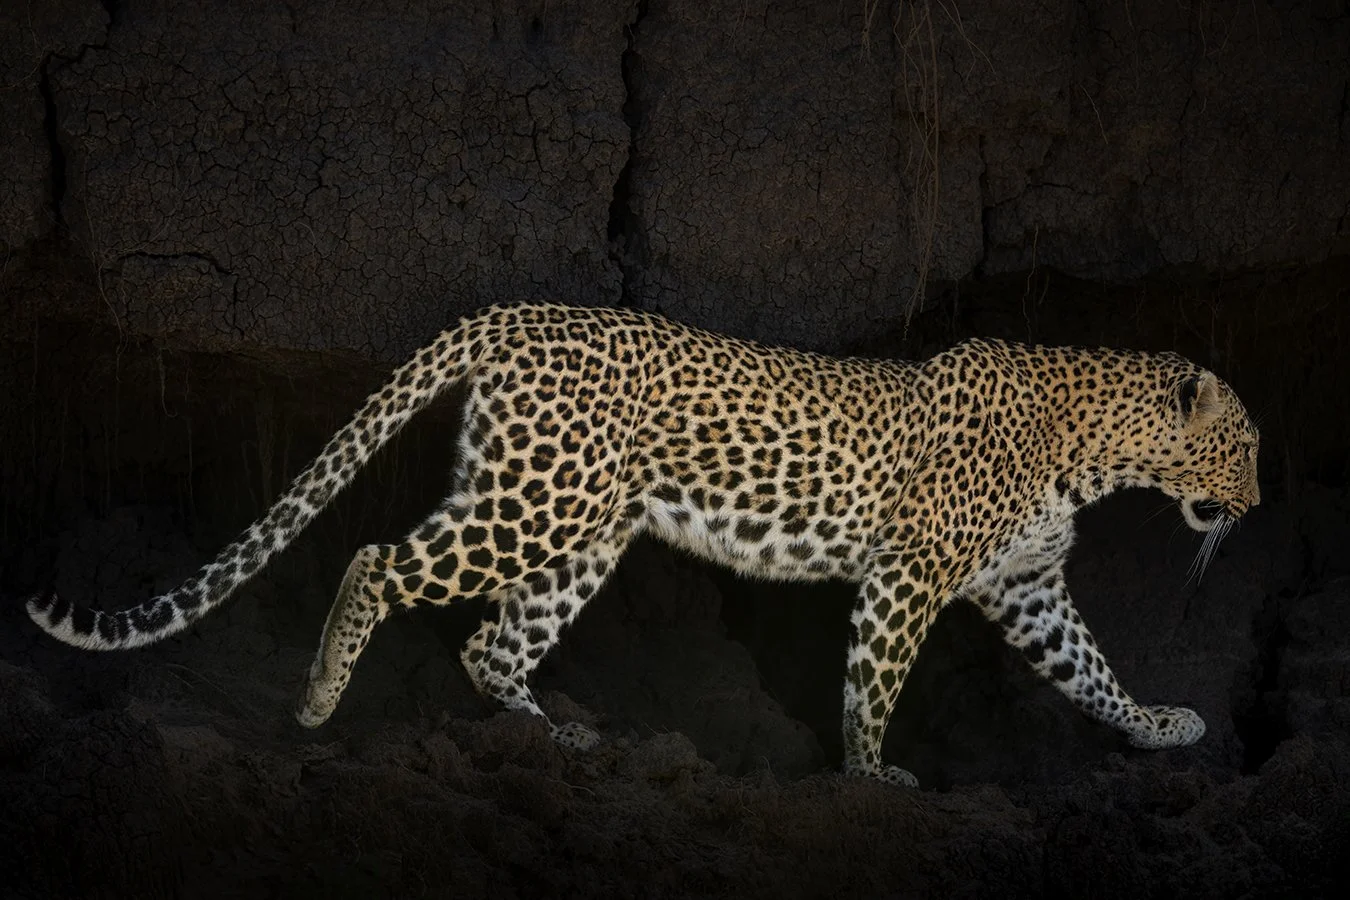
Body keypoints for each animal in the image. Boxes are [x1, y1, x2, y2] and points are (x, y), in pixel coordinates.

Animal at [27, 302, 1260, 787]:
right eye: (1246, 445)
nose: (1252, 508)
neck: (1098, 451)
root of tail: (516, 313)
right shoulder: (910, 576)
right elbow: (874, 684)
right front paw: (872, 779)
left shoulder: (1028, 589)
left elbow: (1093, 672)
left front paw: (1161, 726)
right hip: (540, 505)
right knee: (380, 562)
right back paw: (320, 700)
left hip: (575, 528)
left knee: (490, 645)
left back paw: (554, 740)